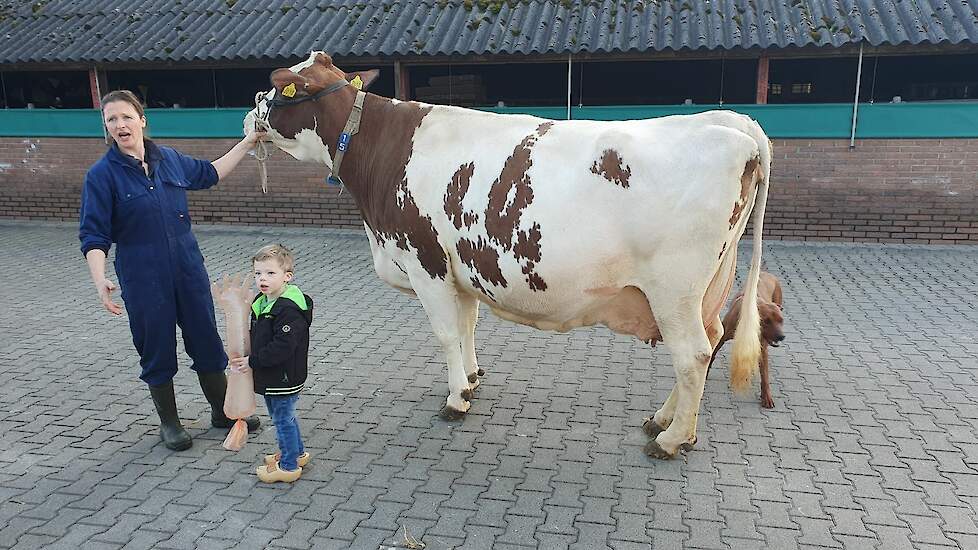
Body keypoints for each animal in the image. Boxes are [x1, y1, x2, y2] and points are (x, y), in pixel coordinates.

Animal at [244, 51, 772, 460]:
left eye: (281, 87)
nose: (250, 113)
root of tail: (735, 126)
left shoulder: (425, 261)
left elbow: (444, 333)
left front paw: (456, 399)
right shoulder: (460, 266)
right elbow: (467, 325)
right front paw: (473, 378)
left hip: (673, 291)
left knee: (692, 354)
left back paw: (670, 440)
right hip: (705, 289)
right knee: (708, 343)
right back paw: (661, 420)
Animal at [704, 272, 780, 410]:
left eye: (781, 321)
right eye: (767, 321)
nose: (781, 336)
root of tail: (767, 273)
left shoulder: (762, 349)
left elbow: (765, 376)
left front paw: (766, 397)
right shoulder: (722, 336)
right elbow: (713, 353)